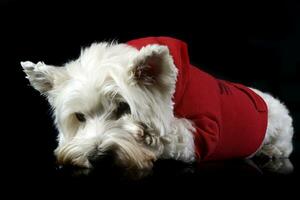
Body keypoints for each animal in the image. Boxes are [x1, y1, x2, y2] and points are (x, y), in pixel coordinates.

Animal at [21, 36, 292, 174]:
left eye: (123, 108)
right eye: (79, 117)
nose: (97, 158)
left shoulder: (199, 135)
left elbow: (170, 135)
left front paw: (145, 136)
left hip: (280, 132)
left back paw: (271, 150)